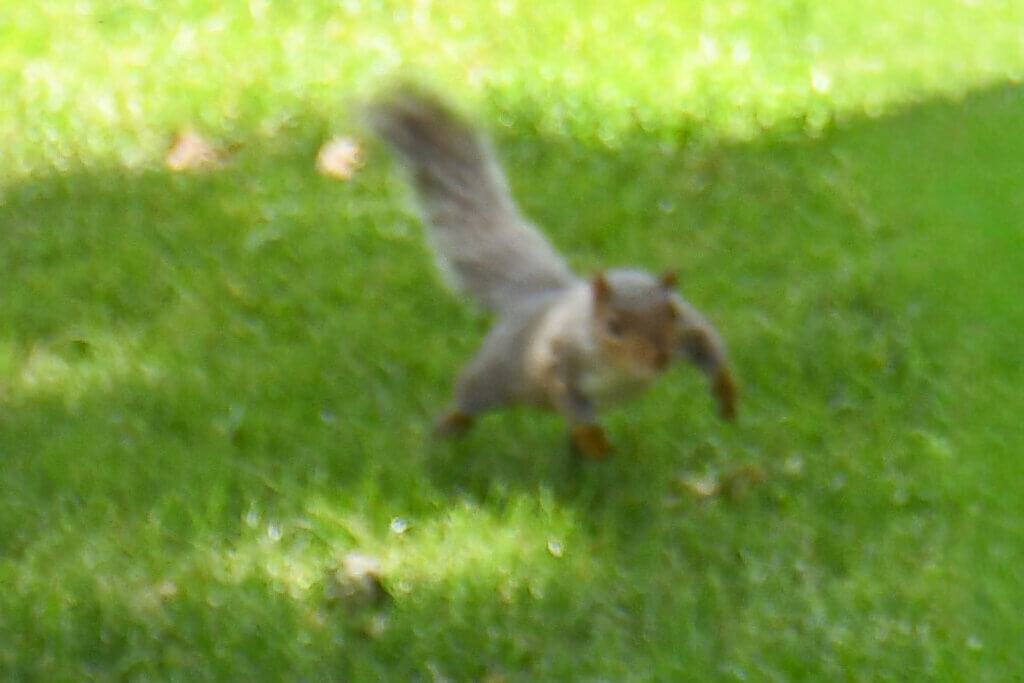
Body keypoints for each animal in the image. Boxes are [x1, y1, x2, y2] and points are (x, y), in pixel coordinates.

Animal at [368, 87, 738, 458]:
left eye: (672, 313)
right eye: (613, 327)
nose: (660, 358)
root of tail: (541, 296)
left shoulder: (689, 325)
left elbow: (709, 345)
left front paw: (726, 393)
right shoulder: (560, 360)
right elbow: (571, 401)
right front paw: (595, 443)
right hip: (498, 368)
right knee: (470, 396)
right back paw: (446, 429)